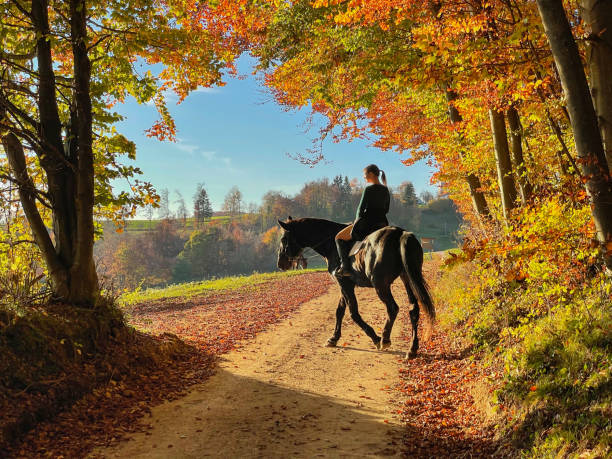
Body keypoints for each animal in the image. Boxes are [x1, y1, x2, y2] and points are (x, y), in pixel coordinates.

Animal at [278, 217, 436, 358]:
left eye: (284, 239)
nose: (281, 264)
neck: (330, 244)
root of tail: (400, 233)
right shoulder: (344, 285)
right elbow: (340, 311)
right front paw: (333, 338)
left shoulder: (344, 284)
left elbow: (353, 313)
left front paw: (375, 338)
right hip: (407, 278)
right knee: (413, 309)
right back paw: (412, 349)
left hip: (380, 285)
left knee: (392, 308)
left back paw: (384, 339)